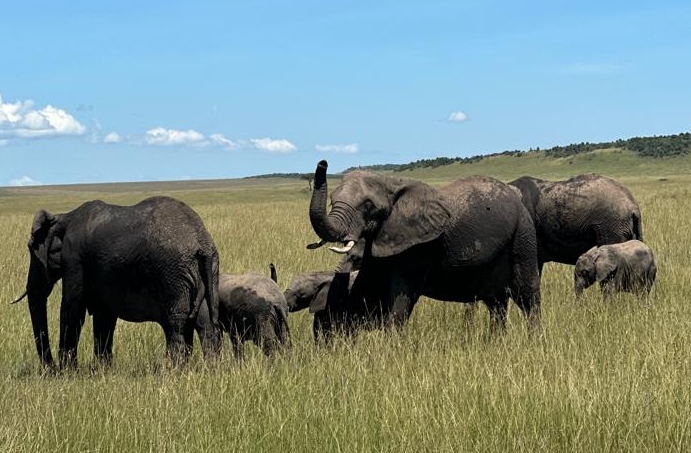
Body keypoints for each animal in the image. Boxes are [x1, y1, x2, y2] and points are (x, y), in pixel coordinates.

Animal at [13, 196, 221, 370]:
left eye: (31, 248)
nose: (51, 369)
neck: (63, 218)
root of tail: (202, 242)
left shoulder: (74, 258)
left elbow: (72, 308)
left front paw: (68, 372)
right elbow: (104, 316)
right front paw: (102, 370)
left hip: (173, 274)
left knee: (176, 322)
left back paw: (173, 370)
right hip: (206, 272)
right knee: (205, 321)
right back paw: (210, 368)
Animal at [307, 160, 542, 333]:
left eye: (368, 206)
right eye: (332, 201)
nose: (323, 163)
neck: (389, 182)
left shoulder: (419, 246)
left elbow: (403, 293)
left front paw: (393, 347)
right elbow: (369, 285)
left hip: (523, 233)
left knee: (527, 294)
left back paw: (534, 340)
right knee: (496, 301)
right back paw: (495, 340)